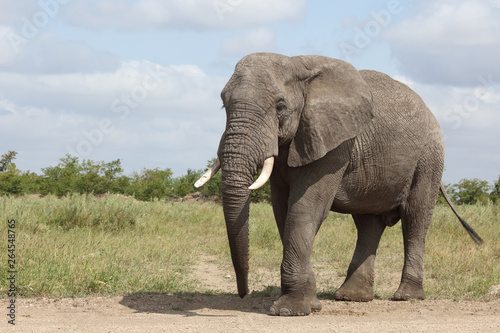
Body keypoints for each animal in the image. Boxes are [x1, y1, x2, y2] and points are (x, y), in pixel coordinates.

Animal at [194, 53, 480, 316]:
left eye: (280, 107)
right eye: (224, 105)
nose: (244, 294)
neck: (297, 65)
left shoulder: (336, 143)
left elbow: (306, 208)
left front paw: (290, 310)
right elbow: (283, 210)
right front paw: (306, 304)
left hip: (429, 158)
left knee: (415, 218)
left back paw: (406, 297)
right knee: (368, 224)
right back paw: (353, 297)